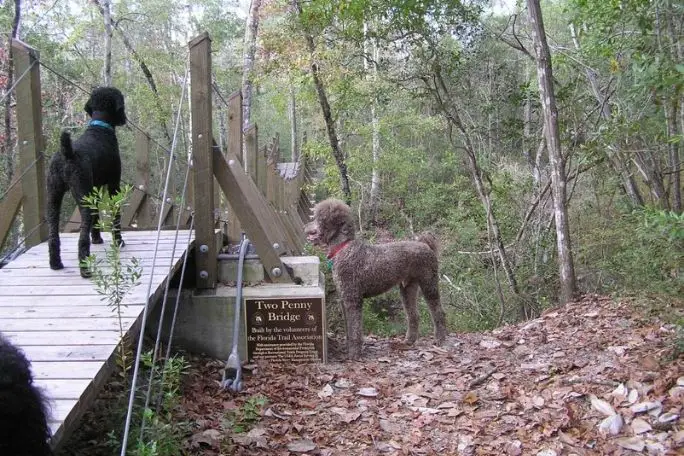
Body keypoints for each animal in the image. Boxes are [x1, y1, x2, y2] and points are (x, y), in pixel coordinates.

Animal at [47, 86, 127, 278]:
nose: (125, 119)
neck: (100, 128)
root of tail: (67, 154)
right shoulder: (113, 185)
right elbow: (115, 215)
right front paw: (118, 240)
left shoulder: (95, 190)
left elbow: (97, 214)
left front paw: (97, 239)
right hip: (82, 197)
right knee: (82, 238)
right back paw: (85, 270)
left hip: (53, 197)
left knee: (53, 234)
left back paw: (55, 263)